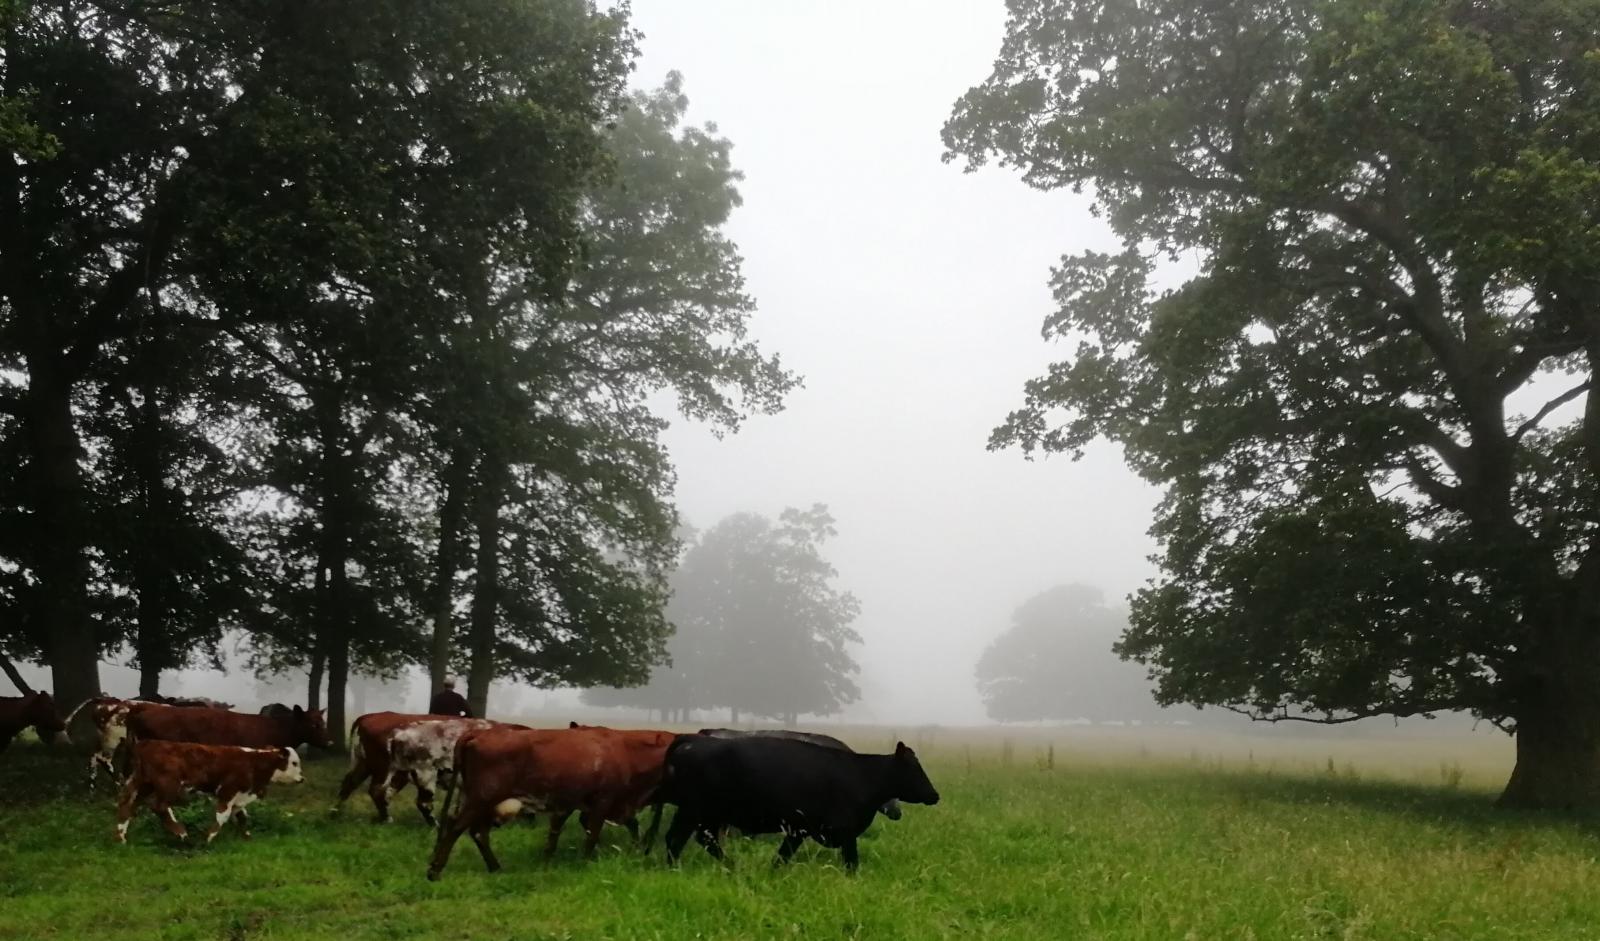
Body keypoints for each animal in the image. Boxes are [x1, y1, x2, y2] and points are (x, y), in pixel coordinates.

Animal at [114, 742, 304, 844]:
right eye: (294, 763)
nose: (302, 779)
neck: (254, 763)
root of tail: (146, 744)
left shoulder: (240, 796)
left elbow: (242, 817)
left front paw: (246, 836)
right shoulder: (228, 791)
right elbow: (223, 816)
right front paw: (208, 838)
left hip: (143, 785)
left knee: (128, 804)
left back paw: (121, 838)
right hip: (168, 785)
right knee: (158, 806)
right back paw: (181, 833)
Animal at [425, 723, 675, 876]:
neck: (626, 752)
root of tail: (479, 733)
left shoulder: (569, 804)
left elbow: (554, 835)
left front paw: (546, 863)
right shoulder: (602, 802)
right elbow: (592, 834)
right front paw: (585, 862)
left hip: (484, 801)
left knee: (477, 831)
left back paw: (495, 867)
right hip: (482, 798)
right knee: (457, 826)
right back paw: (435, 870)